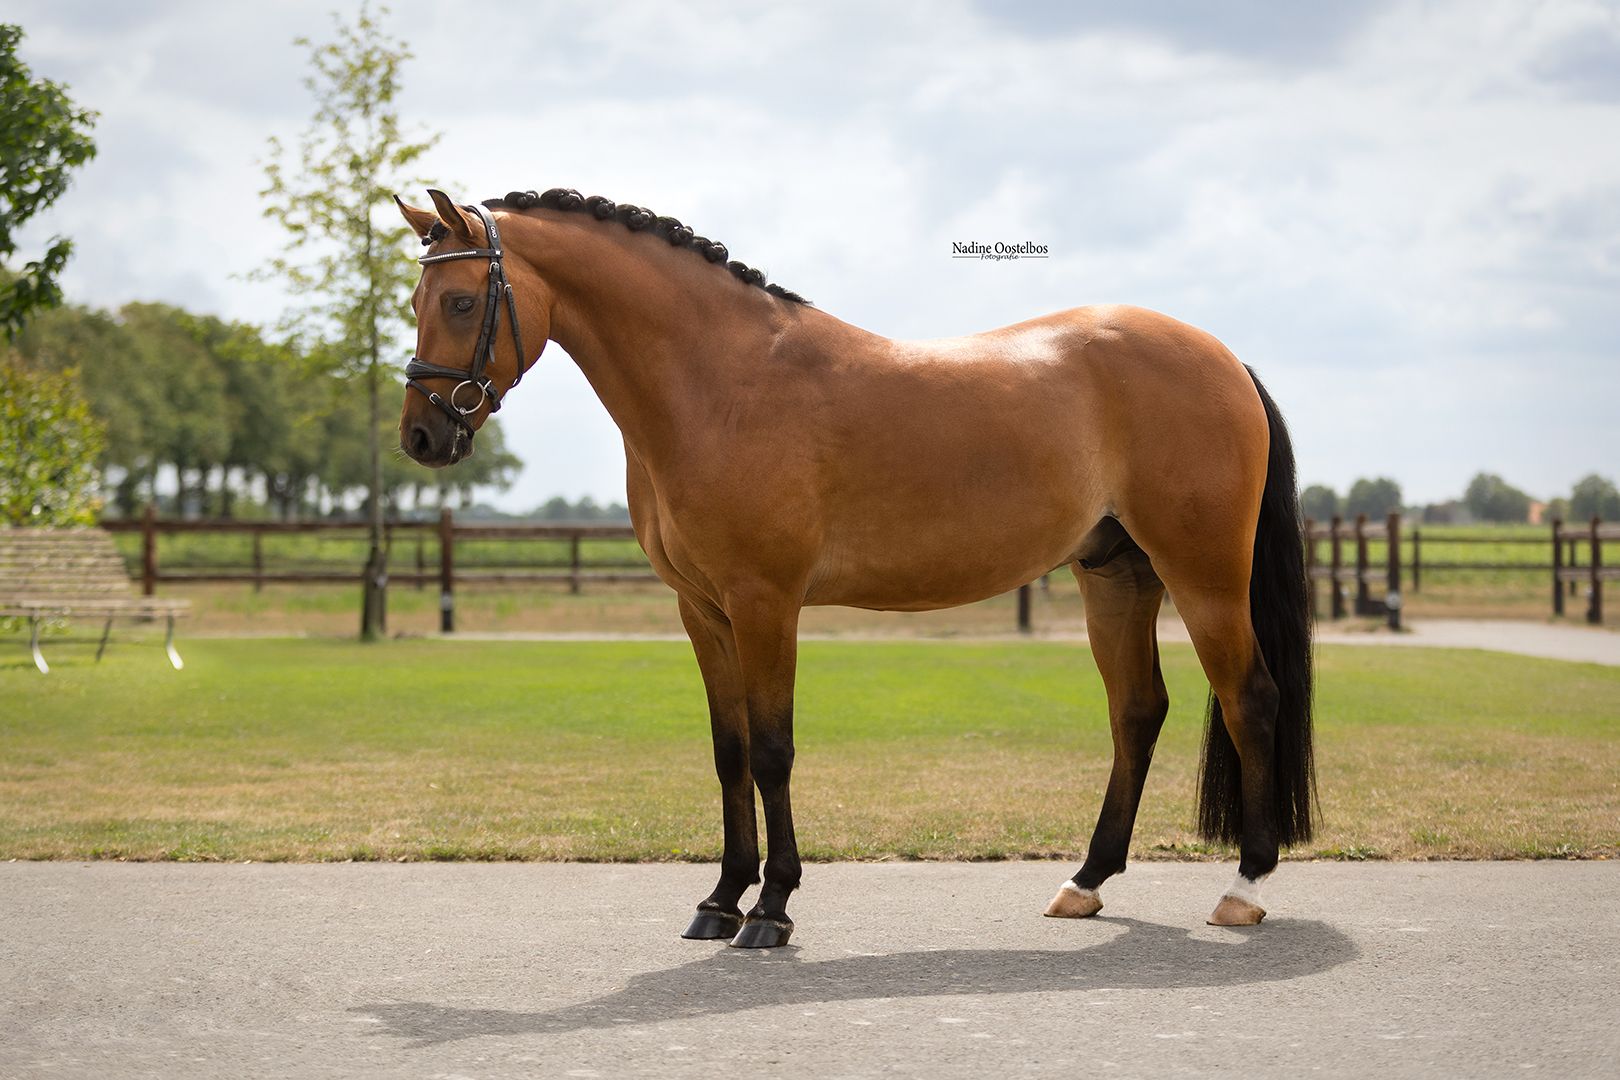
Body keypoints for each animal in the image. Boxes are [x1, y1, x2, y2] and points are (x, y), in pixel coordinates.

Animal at [393, 187, 1315, 949]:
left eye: (462, 300)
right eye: (415, 301)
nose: (423, 437)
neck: (720, 382)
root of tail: (1223, 359)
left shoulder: (765, 604)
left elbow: (772, 751)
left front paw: (771, 909)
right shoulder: (703, 611)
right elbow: (729, 752)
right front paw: (719, 901)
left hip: (1204, 579)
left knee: (1250, 700)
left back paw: (1244, 888)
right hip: (1116, 578)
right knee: (1137, 712)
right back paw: (1085, 883)